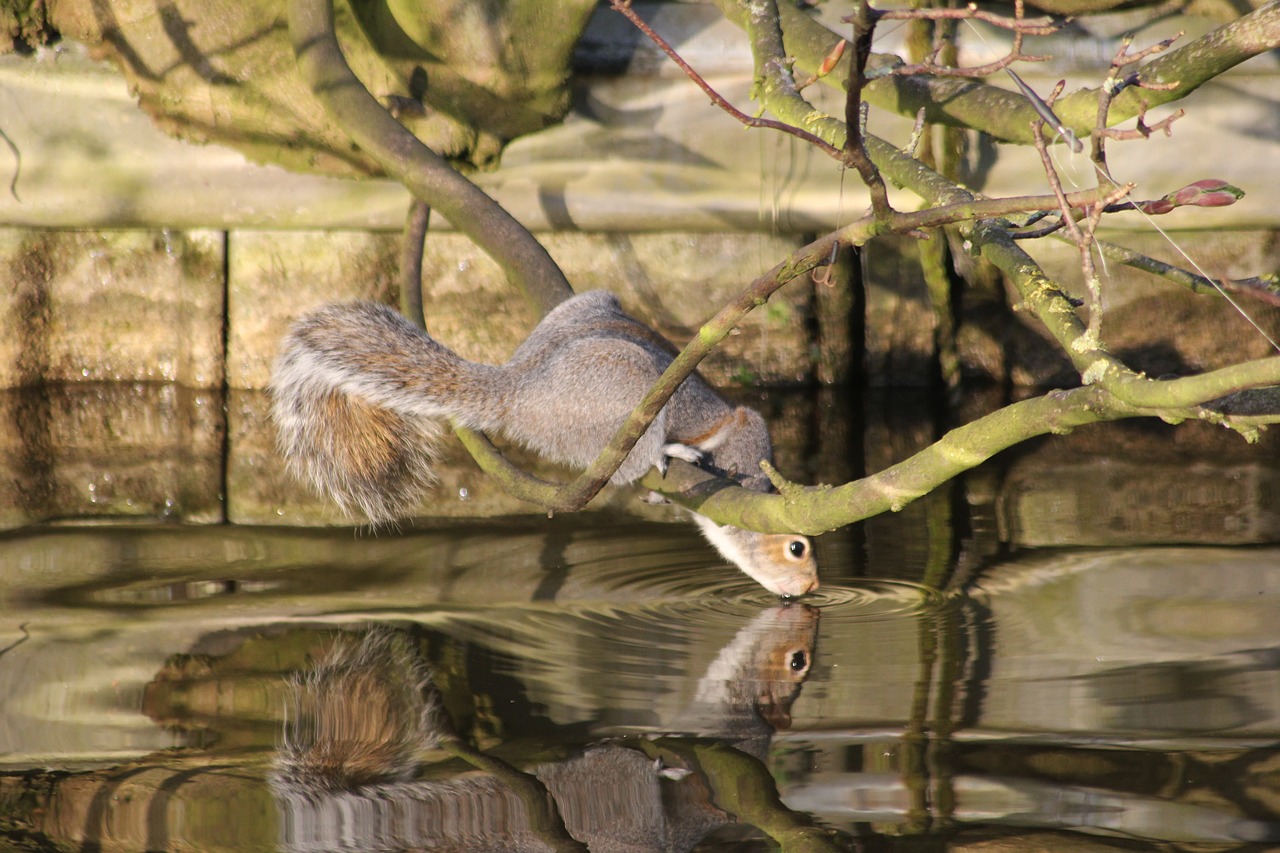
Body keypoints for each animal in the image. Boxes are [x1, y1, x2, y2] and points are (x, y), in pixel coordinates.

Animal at [270, 289, 819, 594]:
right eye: (797, 548)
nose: (813, 587)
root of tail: (522, 392)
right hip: (624, 390)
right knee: (628, 458)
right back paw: (666, 451)